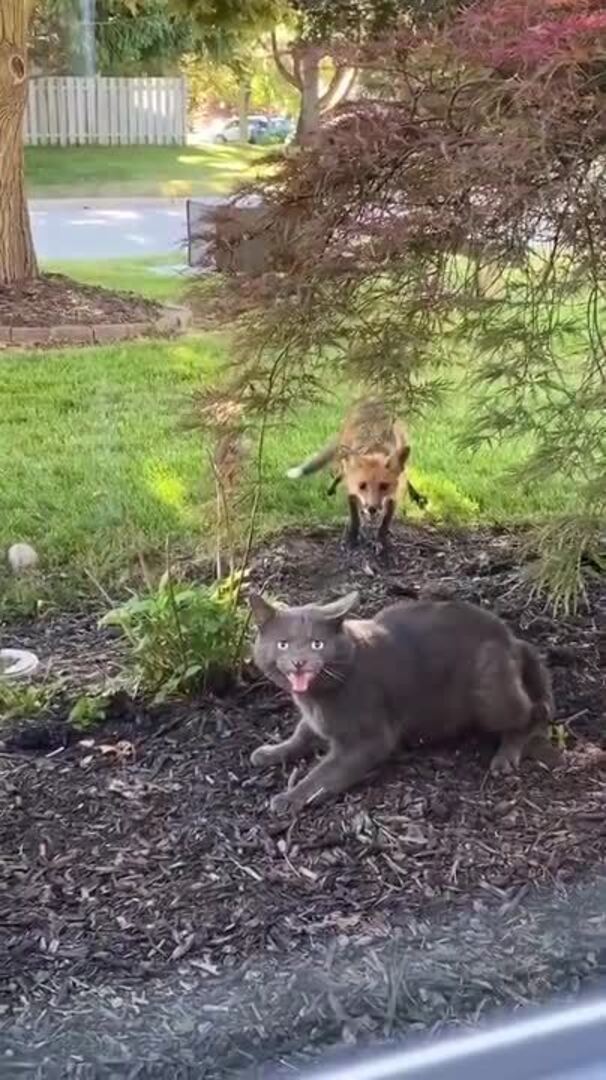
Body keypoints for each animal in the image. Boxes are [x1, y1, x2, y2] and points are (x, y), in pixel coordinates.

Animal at [286, 400, 426, 550]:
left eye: (384, 486)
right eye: (362, 486)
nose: (372, 509)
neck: (374, 448)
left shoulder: (394, 495)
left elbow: (385, 522)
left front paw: (382, 540)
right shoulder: (352, 491)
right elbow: (355, 519)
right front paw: (351, 539)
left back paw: (416, 496)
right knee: (341, 473)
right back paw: (331, 489)